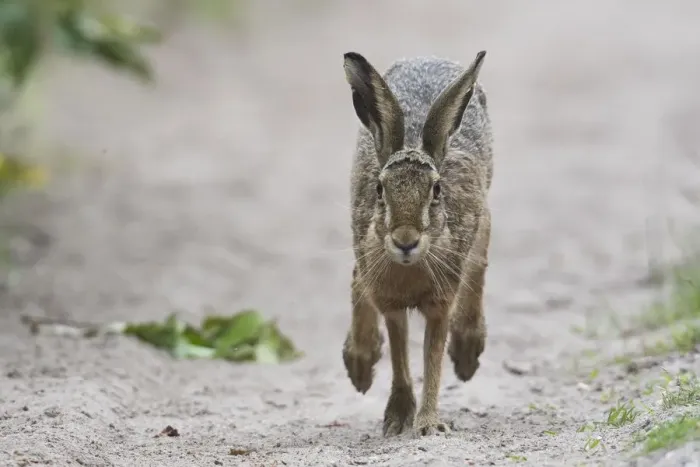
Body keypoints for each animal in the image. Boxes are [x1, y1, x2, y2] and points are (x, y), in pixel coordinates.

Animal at [341, 50, 493, 437]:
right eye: (380, 190)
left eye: (436, 190)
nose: (405, 241)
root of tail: (429, 57)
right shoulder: (390, 303)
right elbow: (400, 354)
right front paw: (397, 418)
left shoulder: (441, 303)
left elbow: (432, 358)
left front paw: (427, 424)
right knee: (356, 279)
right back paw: (359, 364)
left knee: (478, 267)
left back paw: (467, 353)